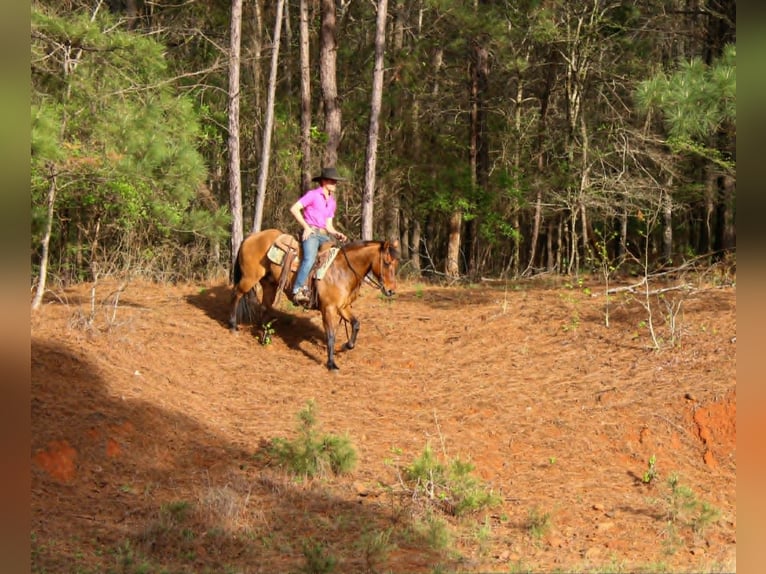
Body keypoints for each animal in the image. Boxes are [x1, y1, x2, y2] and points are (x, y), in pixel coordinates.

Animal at [229, 229, 400, 370]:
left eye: (396, 263)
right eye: (386, 262)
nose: (391, 290)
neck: (343, 270)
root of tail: (251, 237)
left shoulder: (343, 307)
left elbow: (356, 324)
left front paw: (347, 345)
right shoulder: (328, 308)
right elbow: (330, 336)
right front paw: (331, 364)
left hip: (269, 284)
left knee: (265, 307)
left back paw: (265, 338)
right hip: (249, 278)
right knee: (236, 295)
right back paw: (233, 327)